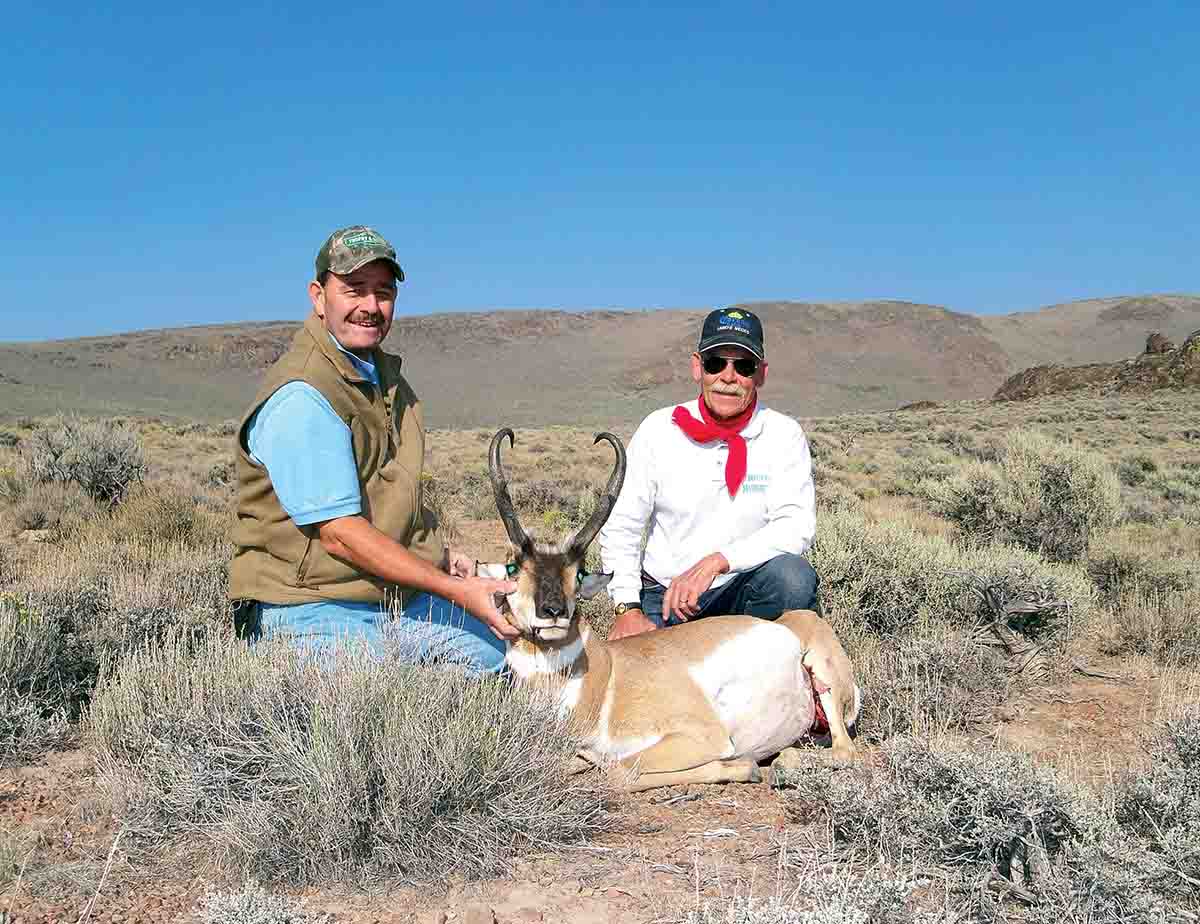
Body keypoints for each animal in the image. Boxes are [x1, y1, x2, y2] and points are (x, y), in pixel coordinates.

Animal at [477, 427, 864, 787]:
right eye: (513, 568)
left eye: (579, 572)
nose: (554, 611)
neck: (607, 677)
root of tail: (793, 622)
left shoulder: (702, 736)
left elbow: (619, 771)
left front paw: (745, 766)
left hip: (823, 676)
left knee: (845, 751)